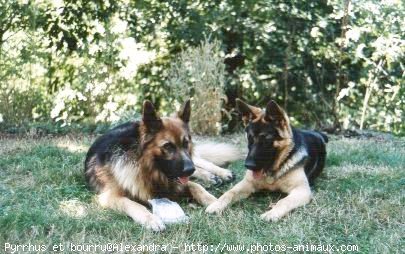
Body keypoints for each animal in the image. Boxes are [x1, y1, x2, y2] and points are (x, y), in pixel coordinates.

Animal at [84, 100, 237, 231]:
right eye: (168, 146)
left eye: (186, 143)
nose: (189, 169)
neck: (146, 169)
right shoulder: (108, 197)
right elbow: (133, 204)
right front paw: (151, 219)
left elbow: (197, 187)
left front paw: (216, 202)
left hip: (193, 160)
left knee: (201, 161)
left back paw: (220, 173)